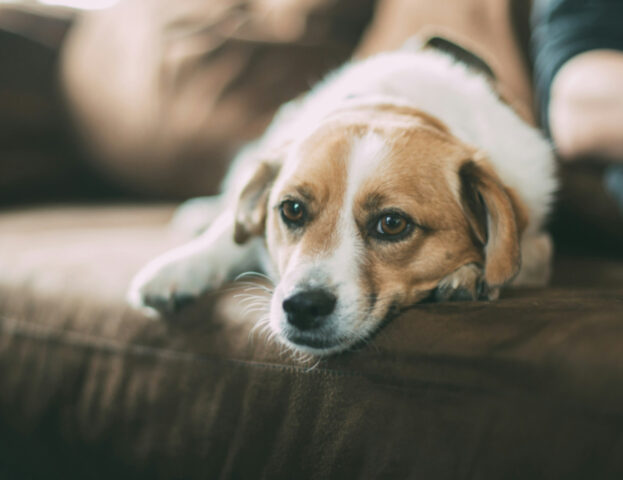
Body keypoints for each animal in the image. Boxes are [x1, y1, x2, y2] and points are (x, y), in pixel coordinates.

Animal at [129, 38, 560, 356]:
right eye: (292, 210)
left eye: (392, 224)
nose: (302, 307)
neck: (394, 105)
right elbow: (227, 235)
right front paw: (179, 268)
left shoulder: (537, 241)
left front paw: (468, 275)